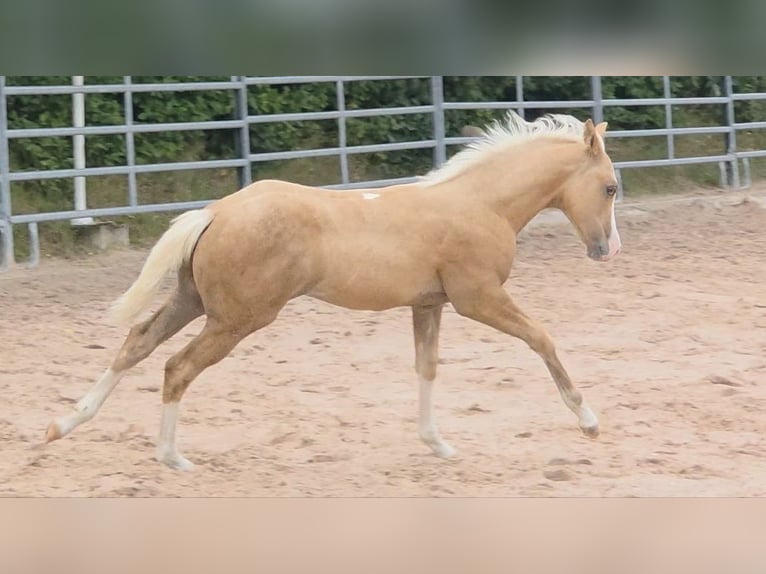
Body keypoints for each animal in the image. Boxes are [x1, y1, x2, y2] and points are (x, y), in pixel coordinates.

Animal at [45, 112, 621, 470]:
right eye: (611, 187)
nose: (607, 250)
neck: (480, 204)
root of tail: (216, 211)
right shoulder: (477, 299)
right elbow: (541, 338)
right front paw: (589, 421)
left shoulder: (428, 305)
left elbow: (427, 368)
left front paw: (438, 444)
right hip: (236, 318)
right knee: (177, 367)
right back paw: (171, 456)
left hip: (195, 302)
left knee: (136, 344)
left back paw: (63, 425)